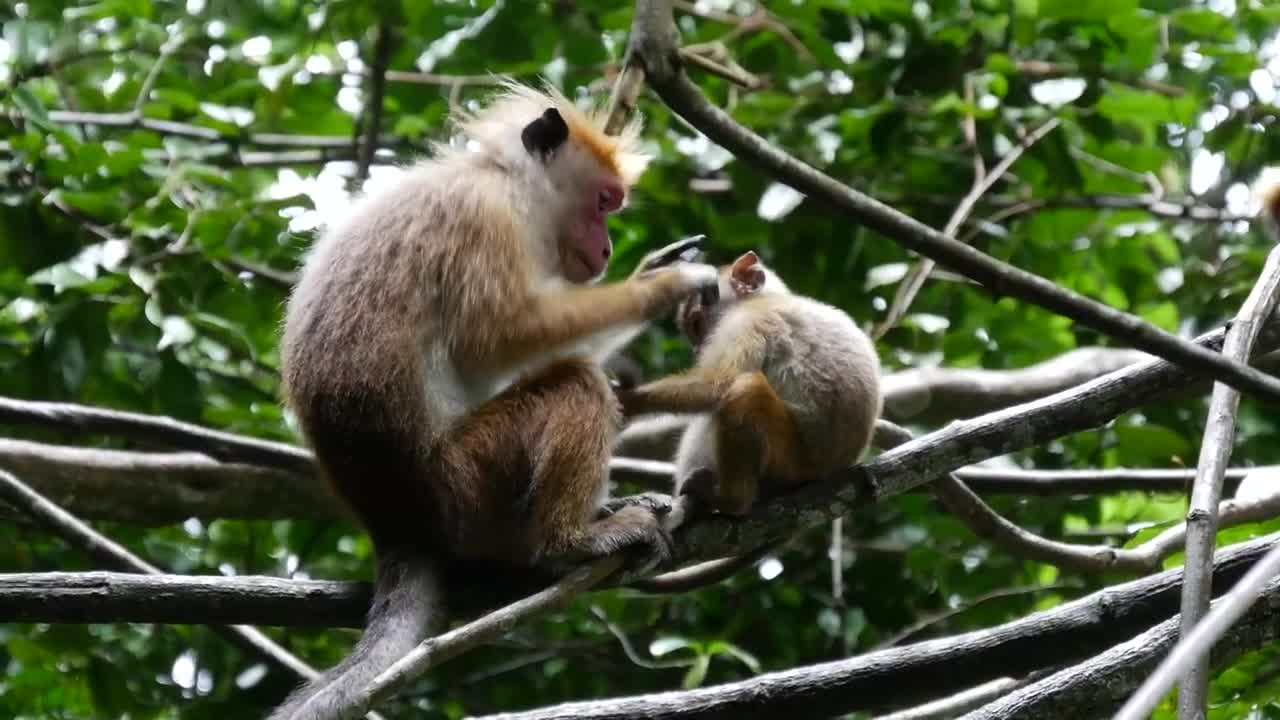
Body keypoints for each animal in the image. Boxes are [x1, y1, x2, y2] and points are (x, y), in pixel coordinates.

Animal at [272, 83, 721, 717]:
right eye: (604, 202)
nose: (608, 248)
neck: (504, 178)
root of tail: (398, 522)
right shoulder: (485, 218)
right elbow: (499, 338)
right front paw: (663, 286)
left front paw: (653, 268)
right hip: (467, 483)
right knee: (575, 383)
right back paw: (571, 541)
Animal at [616, 249, 880, 512]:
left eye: (697, 325)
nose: (698, 349)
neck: (765, 298)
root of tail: (829, 470)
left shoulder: (748, 320)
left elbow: (715, 386)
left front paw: (628, 400)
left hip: (791, 464)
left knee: (745, 389)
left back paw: (732, 500)